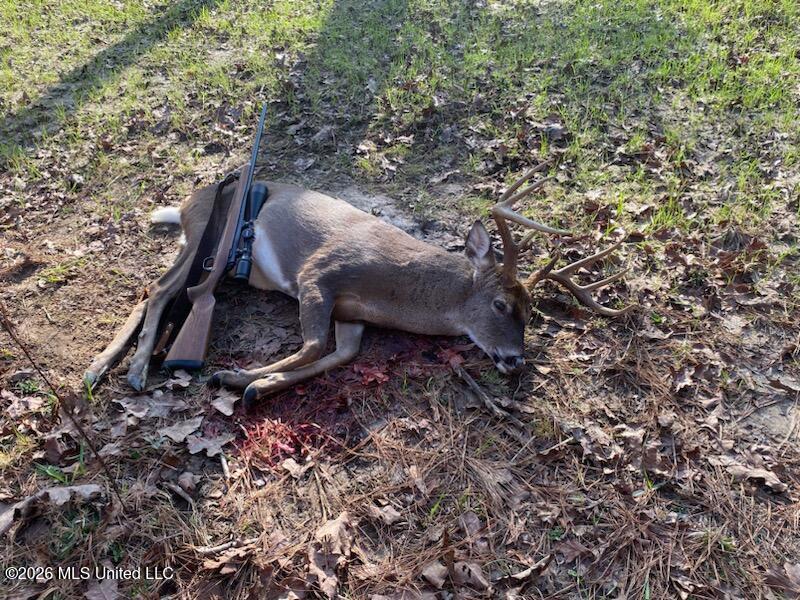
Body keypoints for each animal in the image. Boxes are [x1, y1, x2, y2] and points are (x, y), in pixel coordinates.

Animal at [85, 162, 632, 408]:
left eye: (532, 311)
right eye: (500, 304)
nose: (515, 360)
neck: (395, 289)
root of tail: (184, 203)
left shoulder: (351, 315)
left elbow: (339, 354)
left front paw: (257, 385)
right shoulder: (318, 272)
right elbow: (312, 344)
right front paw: (235, 377)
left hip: (197, 247)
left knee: (151, 291)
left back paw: (100, 368)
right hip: (208, 238)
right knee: (161, 290)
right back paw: (133, 372)